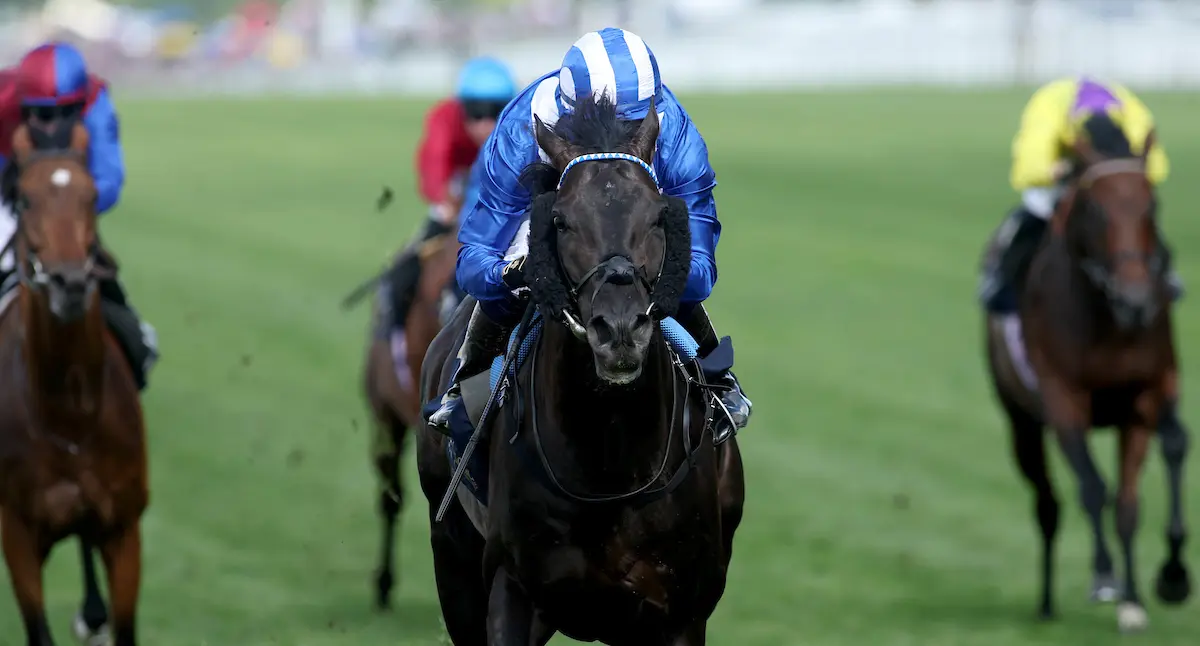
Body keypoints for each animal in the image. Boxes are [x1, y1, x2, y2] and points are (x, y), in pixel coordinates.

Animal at [983, 116, 1191, 632]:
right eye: (1094, 208)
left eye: (1152, 204)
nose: (1136, 301)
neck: (1107, 322)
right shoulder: (1063, 398)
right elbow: (1094, 488)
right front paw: (1104, 578)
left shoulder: (1144, 399)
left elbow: (1130, 504)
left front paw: (1141, 596)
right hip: (1021, 424)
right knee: (1047, 504)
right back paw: (1045, 603)